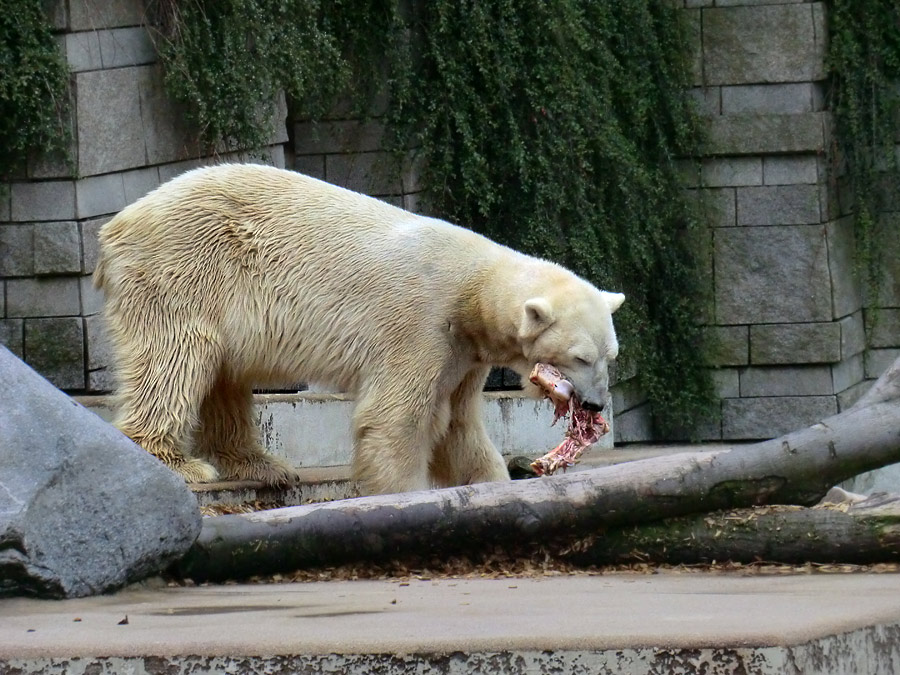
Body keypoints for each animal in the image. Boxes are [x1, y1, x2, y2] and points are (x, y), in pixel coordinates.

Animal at [95, 162, 624, 492]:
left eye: (610, 357)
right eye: (579, 357)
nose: (596, 404)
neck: (474, 287)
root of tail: (117, 225)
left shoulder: (464, 353)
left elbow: (458, 426)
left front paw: (492, 482)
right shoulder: (423, 323)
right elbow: (398, 417)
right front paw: (402, 491)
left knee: (225, 376)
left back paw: (264, 465)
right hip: (187, 267)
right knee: (176, 357)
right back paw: (177, 461)